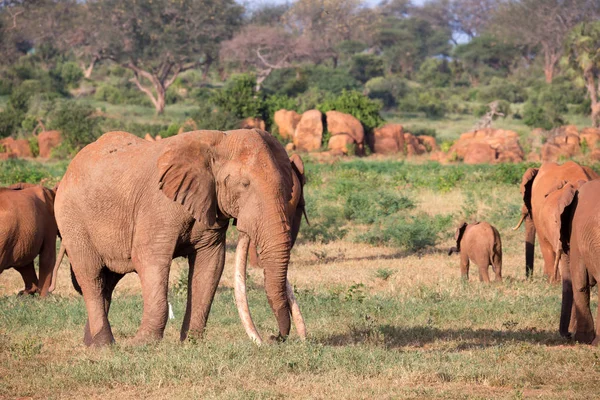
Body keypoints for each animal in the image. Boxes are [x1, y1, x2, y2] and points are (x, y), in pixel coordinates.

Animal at [54, 129, 308, 346]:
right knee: (92, 276)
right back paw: (104, 345)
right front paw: (142, 344)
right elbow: (150, 259)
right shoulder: (158, 204)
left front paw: (191, 343)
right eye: (244, 185)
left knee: (108, 281)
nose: (274, 337)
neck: (219, 141)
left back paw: (90, 343)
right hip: (71, 218)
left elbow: (210, 264)